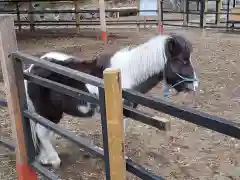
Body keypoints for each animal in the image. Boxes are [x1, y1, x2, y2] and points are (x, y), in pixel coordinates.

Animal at [24, 33, 199, 169]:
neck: (126, 75)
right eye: (183, 61)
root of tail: (31, 69)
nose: (195, 85)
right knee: (41, 133)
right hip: (49, 113)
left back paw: (44, 159)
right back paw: (54, 161)